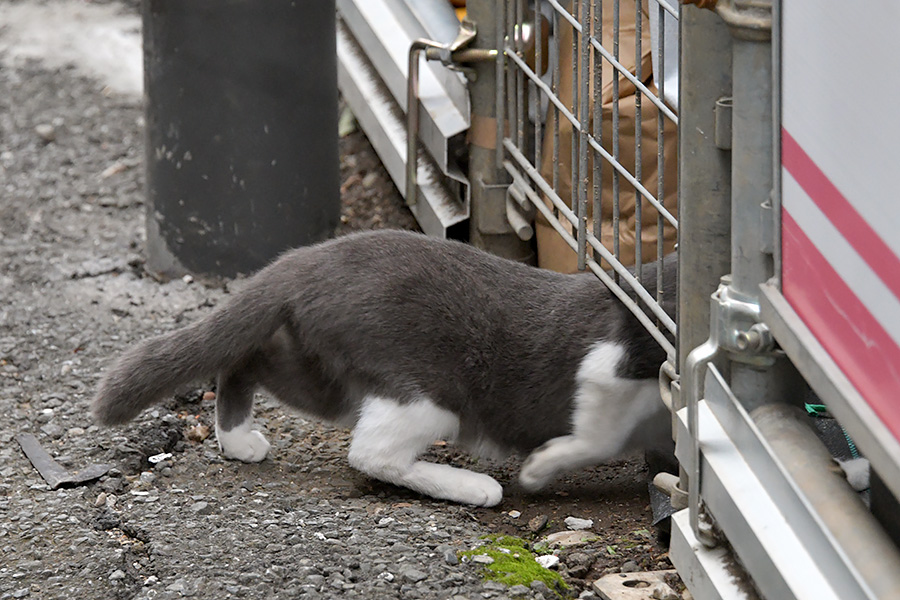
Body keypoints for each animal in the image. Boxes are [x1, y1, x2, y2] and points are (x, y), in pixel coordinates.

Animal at [93, 230, 676, 506]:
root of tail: (302, 261)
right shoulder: (617, 360)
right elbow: (595, 436)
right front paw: (539, 468)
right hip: (426, 390)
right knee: (371, 454)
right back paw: (473, 487)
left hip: (326, 372)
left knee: (248, 361)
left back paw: (238, 442)